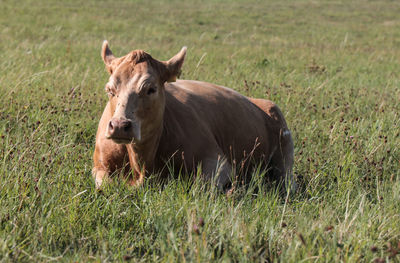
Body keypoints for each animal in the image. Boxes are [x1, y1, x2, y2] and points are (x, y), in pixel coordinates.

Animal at [92, 41, 296, 194]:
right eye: (110, 89)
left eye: (151, 89)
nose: (119, 125)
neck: (142, 165)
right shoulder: (99, 166)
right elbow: (106, 185)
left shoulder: (218, 162)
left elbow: (200, 188)